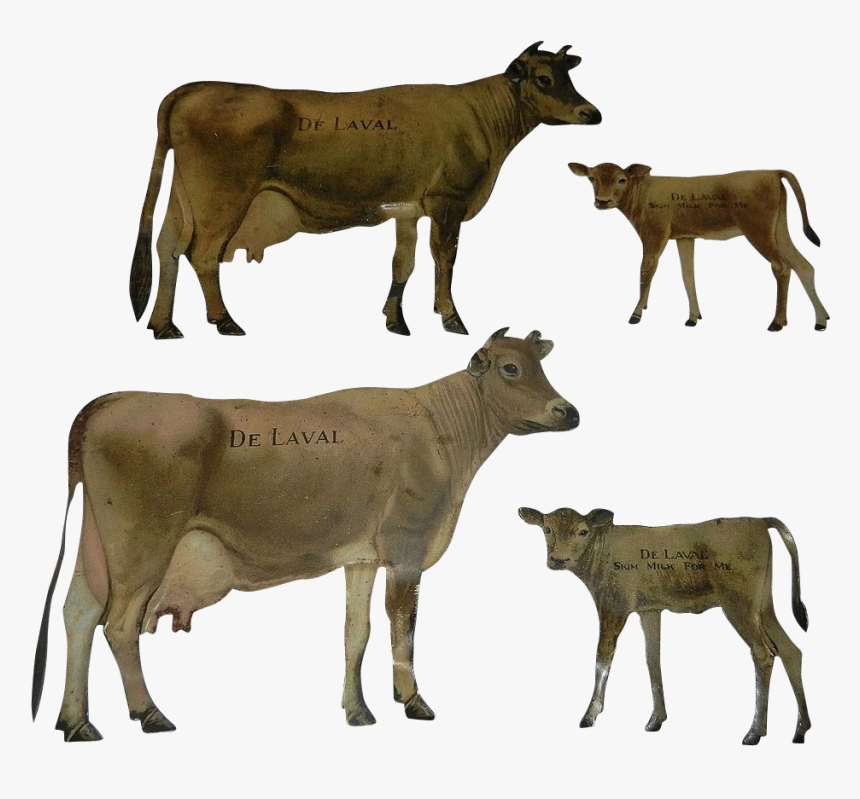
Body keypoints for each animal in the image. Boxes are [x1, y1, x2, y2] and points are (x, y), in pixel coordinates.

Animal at [32, 329, 578, 741]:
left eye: (541, 364)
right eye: (510, 368)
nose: (567, 411)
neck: (439, 431)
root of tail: (115, 398)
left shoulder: (362, 557)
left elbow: (356, 632)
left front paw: (357, 710)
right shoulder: (407, 548)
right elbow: (404, 627)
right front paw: (412, 700)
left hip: (97, 545)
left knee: (78, 613)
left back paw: (76, 722)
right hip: (142, 544)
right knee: (119, 624)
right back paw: (150, 713)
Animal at [130, 43, 602, 340]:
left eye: (567, 75)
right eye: (543, 78)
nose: (591, 113)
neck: (479, 116)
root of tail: (196, 87)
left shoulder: (408, 208)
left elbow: (403, 263)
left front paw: (396, 321)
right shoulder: (448, 201)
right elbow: (444, 258)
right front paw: (451, 318)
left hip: (185, 196)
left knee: (168, 246)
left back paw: (164, 326)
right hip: (221, 197)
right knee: (203, 254)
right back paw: (224, 321)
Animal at [517, 507, 810, 744]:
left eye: (582, 531)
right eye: (547, 528)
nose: (558, 559)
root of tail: (760, 520)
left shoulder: (613, 605)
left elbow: (603, 657)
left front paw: (590, 715)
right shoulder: (650, 609)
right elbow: (652, 658)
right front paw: (655, 719)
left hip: (739, 603)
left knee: (764, 653)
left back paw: (754, 733)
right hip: (763, 605)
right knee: (790, 650)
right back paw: (800, 729)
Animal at [567, 163, 829, 331]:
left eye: (622, 179)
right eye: (591, 178)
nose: (602, 201)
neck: (642, 193)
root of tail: (773, 172)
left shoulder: (654, 235)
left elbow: (646, 270)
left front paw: (636, 313)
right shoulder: (685, 237)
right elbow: (688, 275)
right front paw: (693, 317)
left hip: (758, 230)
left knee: (782, 267)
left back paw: (777, 322)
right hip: (779, 230)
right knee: (804, 265)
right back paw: (820, 320)